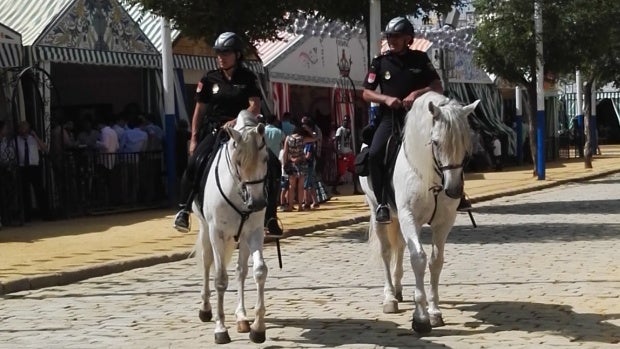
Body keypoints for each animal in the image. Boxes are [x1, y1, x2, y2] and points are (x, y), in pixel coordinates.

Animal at [194, 110, 272, 344]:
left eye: (266, 159)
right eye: (238, 162)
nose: (257, 203)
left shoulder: (254, 232)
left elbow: (259, 271)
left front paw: (258, 327)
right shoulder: (217, 234)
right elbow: (220, 279)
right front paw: (220, 329)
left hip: (243, 238)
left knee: (241, 271)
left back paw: (242, 317)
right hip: (205, 231)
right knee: (207, 263)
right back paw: (205, 309)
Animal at [358, 91, 480, 334]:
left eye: (465, 142)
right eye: (436, 142)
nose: (454, 190)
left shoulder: (444, 222)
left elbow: (436, 261)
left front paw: (434, 311)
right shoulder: (409, 218)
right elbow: (419, 259)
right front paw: (421, 317)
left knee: (400, 248)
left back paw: (397, 290)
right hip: (377, 211)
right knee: (386, 252)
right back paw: (390, 298)